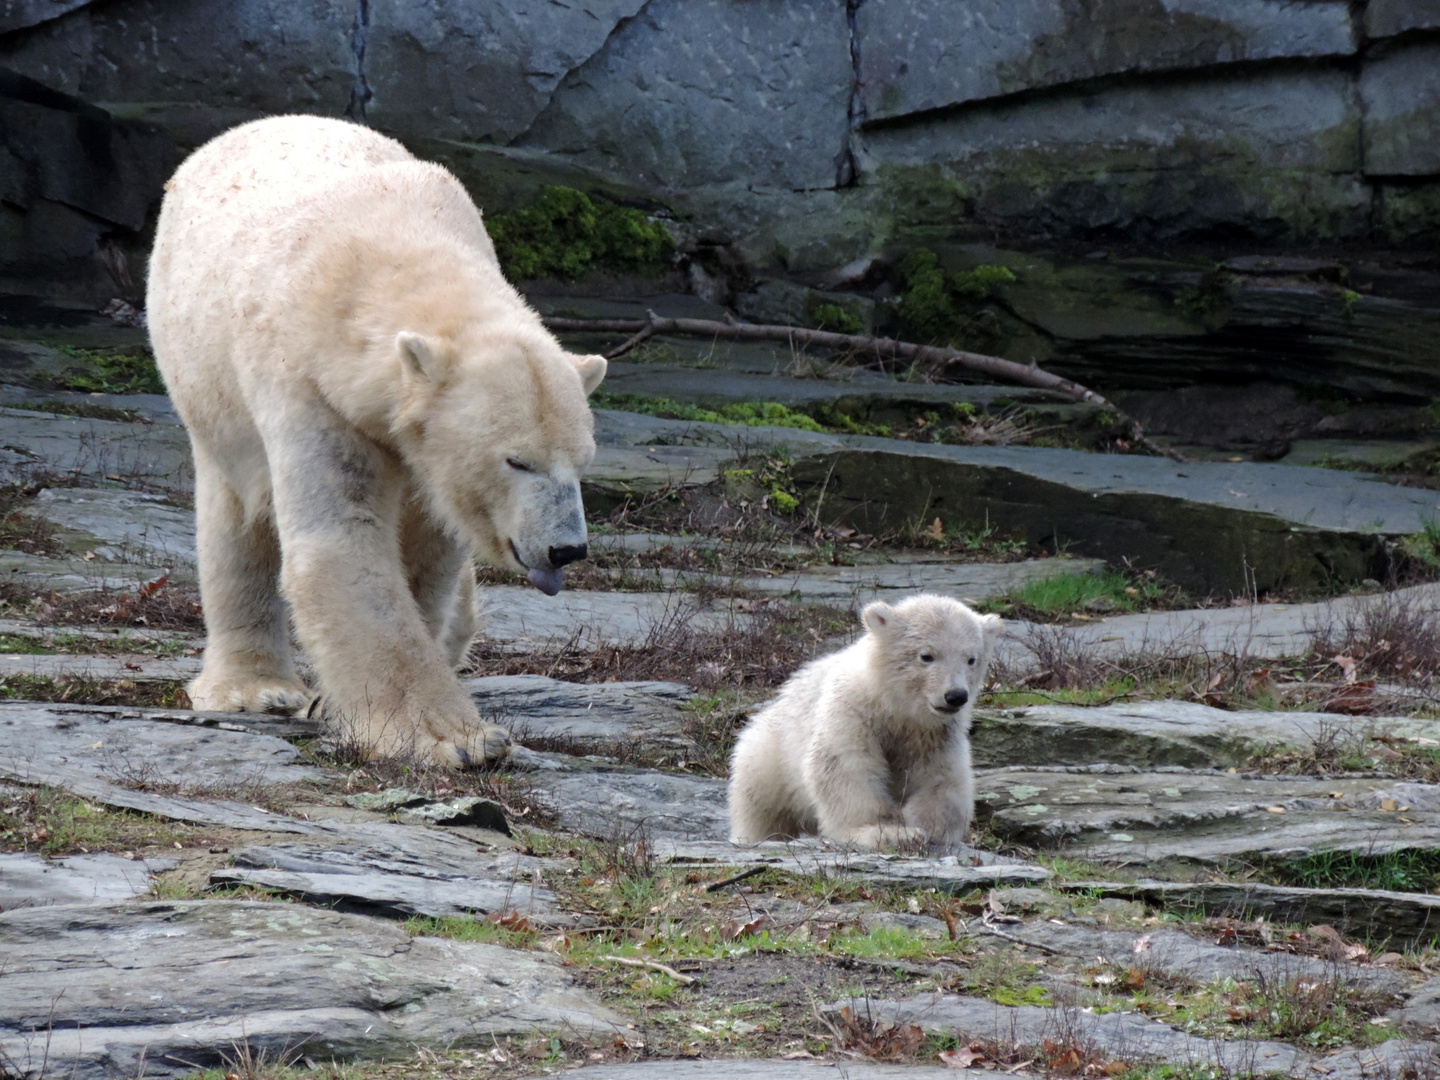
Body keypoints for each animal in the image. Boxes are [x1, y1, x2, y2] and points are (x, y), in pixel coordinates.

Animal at [143, 118, 599, 771]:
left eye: (583, 463)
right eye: (518, 460)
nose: (566, 550)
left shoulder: (426, 454)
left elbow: (431, 553)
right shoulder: (309, 385)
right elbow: (343, 538)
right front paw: (453, 738)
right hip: (209, 391)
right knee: (238, 516)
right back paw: (255, 688)